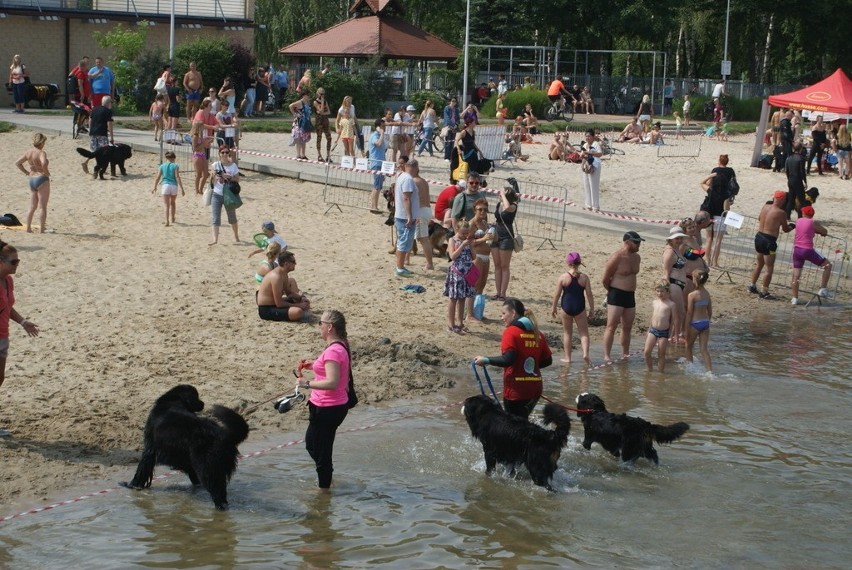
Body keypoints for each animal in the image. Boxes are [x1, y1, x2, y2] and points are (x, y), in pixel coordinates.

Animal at [121, 384, 251, 508]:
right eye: (196, 397)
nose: (203, 403)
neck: (173, 401)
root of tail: (223, 435)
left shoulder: (150, 449)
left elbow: (142, 469)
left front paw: (132, 485)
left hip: (207, 468)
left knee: (217, 492)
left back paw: (219, 506)